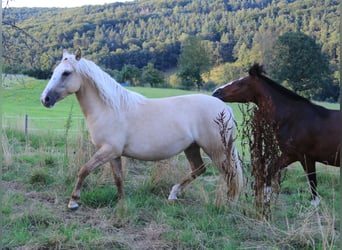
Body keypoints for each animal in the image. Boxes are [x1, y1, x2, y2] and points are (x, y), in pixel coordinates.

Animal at [40, 48, 243, 209]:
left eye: (66, 73)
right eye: (54, 71)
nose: (45, 99)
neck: (111, 108)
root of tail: (225, 108)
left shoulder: (108, 150)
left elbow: (84, 170)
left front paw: (73, 202)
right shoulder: (114, 154)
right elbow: (118, 178)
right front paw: (122, 203)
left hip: (217, 150)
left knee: (229, 173)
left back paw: (229, 204)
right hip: (192, 147)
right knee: (199, 169)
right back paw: (173, 194)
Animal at [212, 63, 340, 206]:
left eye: (241, 83)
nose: (216, 92)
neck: (294, 118)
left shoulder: (306, 158)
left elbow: (313, 184)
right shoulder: (290, 155)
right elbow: (269, 171)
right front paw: (265, 200)